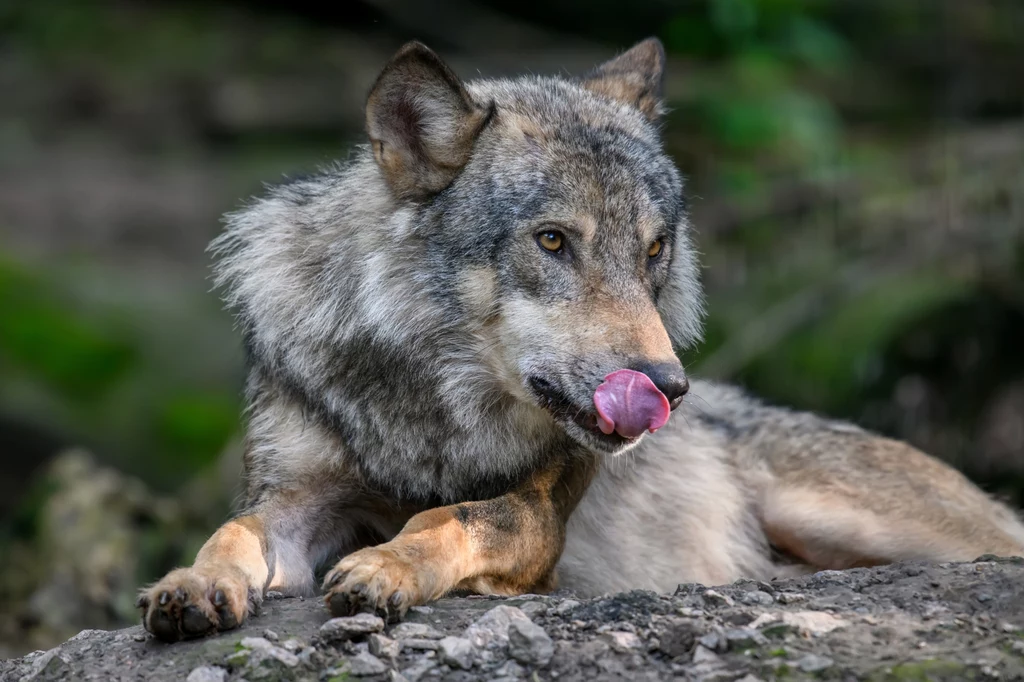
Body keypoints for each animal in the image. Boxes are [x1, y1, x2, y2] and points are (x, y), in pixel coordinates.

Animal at [136, 34, 1024, 634]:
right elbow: (235, 528)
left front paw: (388, 566)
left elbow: (454, 518)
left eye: (654, 250)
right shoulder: (297, 496)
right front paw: (193, 583)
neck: (432, 414)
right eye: (555, 241)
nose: (666, 389)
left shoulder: (539, 519)